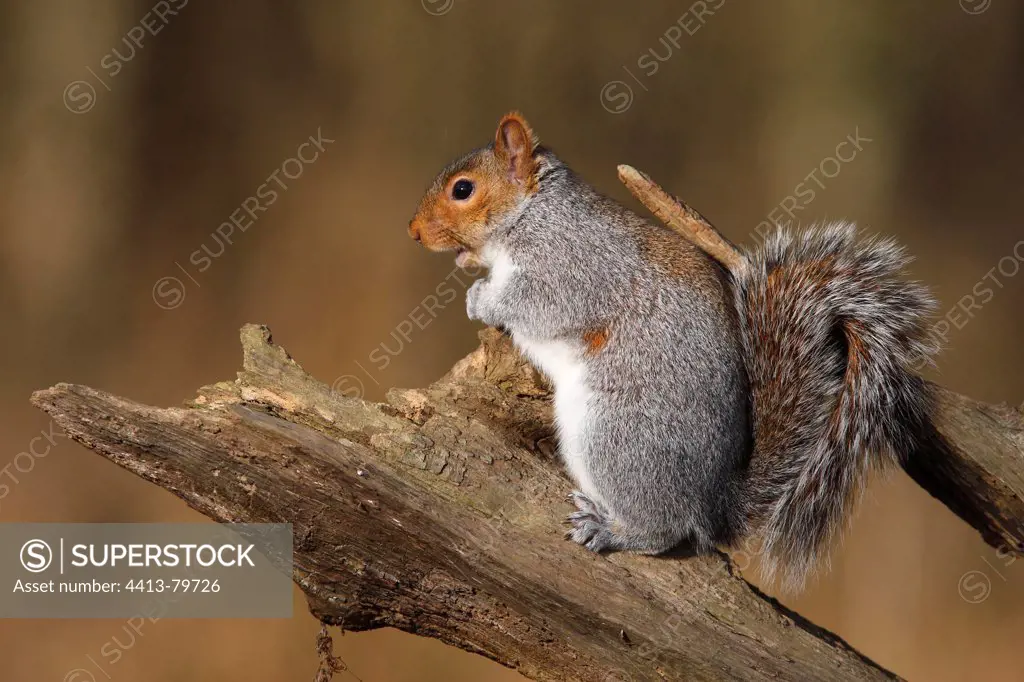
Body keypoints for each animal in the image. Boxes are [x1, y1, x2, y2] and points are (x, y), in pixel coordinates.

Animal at [407, 111, 937, 585]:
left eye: (462, 189)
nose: (412, 231)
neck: (535, 214)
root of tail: (714, 501)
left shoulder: (574, 270)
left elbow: (538, 304)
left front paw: (481, 299)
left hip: (616, 436)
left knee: (664, 530)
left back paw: (612, 530)